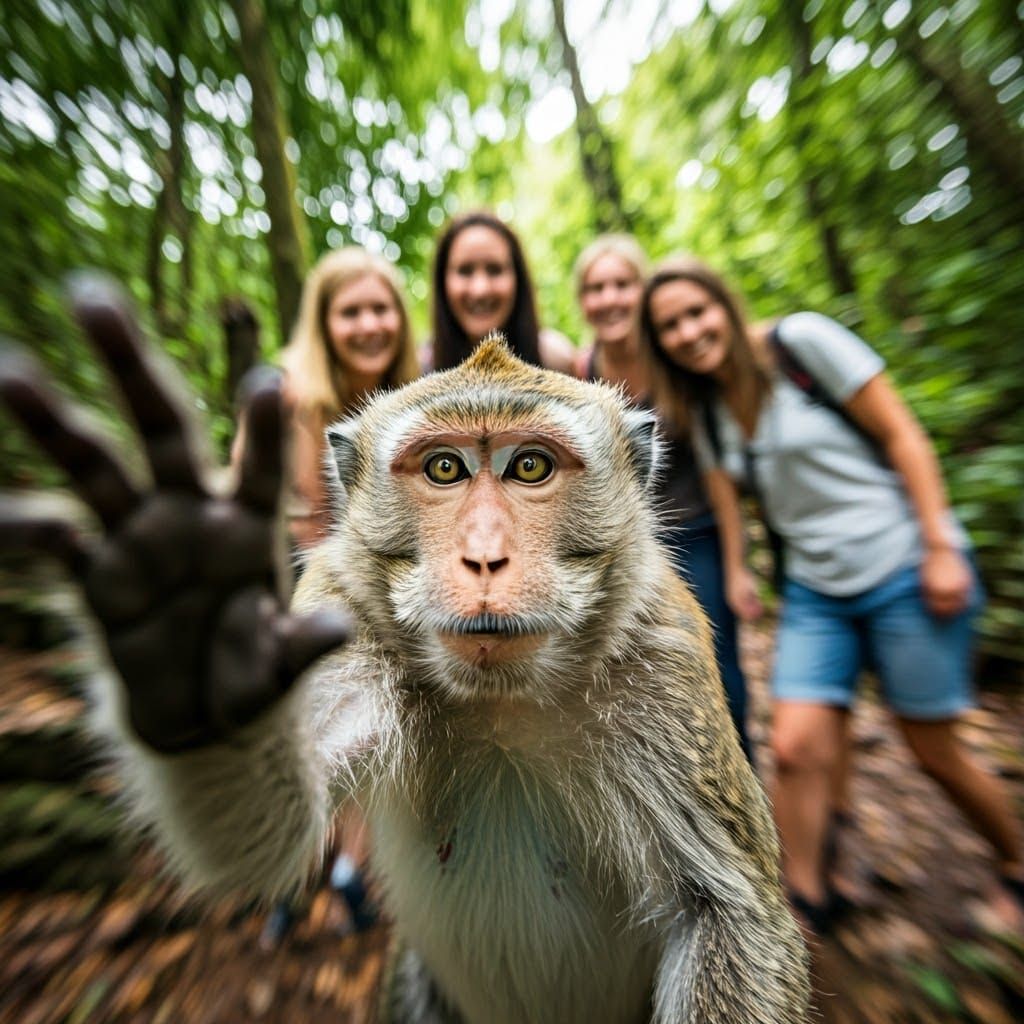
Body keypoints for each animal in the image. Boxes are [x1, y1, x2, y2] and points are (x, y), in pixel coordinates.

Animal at [0, 279, 809, 1024]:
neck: (501, 703)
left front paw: (193, 603)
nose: (484, 558)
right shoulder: (341, 613)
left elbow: (730, 916)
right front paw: (190, 621)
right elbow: (266, 844)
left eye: (530, 467)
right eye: (445, 468)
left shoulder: (662, 657)